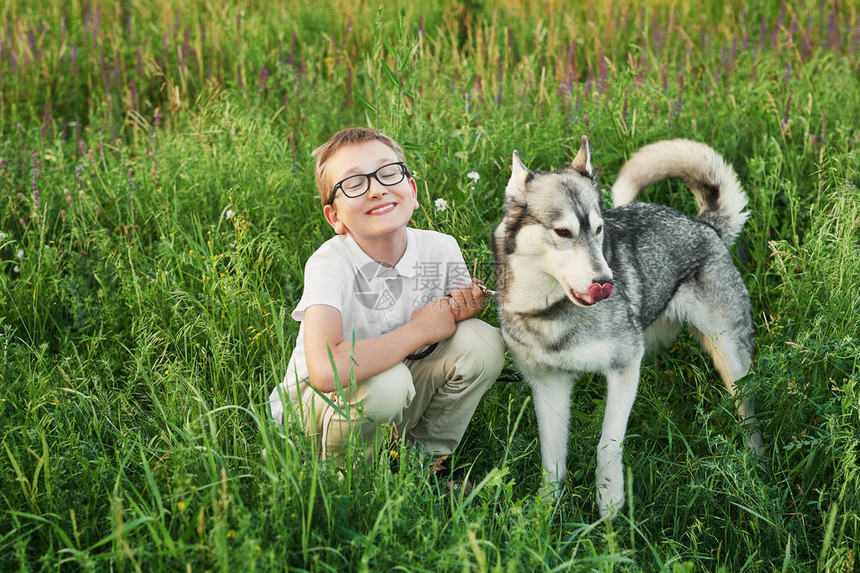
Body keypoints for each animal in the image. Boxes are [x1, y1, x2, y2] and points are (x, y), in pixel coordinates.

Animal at [494, 136, 764, 516]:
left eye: (598, 229)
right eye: (562, 232)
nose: (606, 282)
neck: (545, 309)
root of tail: (706, 226)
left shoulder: (623, 368)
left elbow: (607, 443)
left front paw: (609, 502)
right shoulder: (549, 386)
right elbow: (552, 460)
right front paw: (543, 513)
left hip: (731, 361)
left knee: (748, 416)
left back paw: (755, 466)